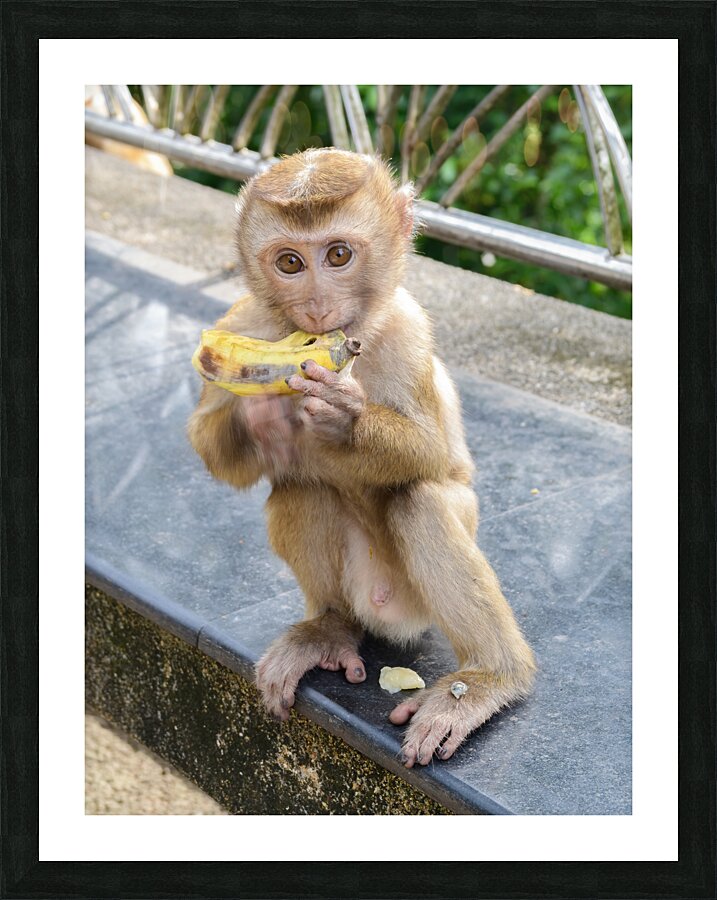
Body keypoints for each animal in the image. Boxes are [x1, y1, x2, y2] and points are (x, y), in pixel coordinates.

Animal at [187, 148, 536, 768]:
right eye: (290, 262)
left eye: (339, 255)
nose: (318, 306)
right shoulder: (241, 323)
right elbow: (214, 448)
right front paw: (260, 418)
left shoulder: (407, 330)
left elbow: (430, 451)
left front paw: (345, 417)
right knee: (299, 488)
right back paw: (330, 631)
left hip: (413, 602)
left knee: (419, 500)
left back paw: (488, 680)